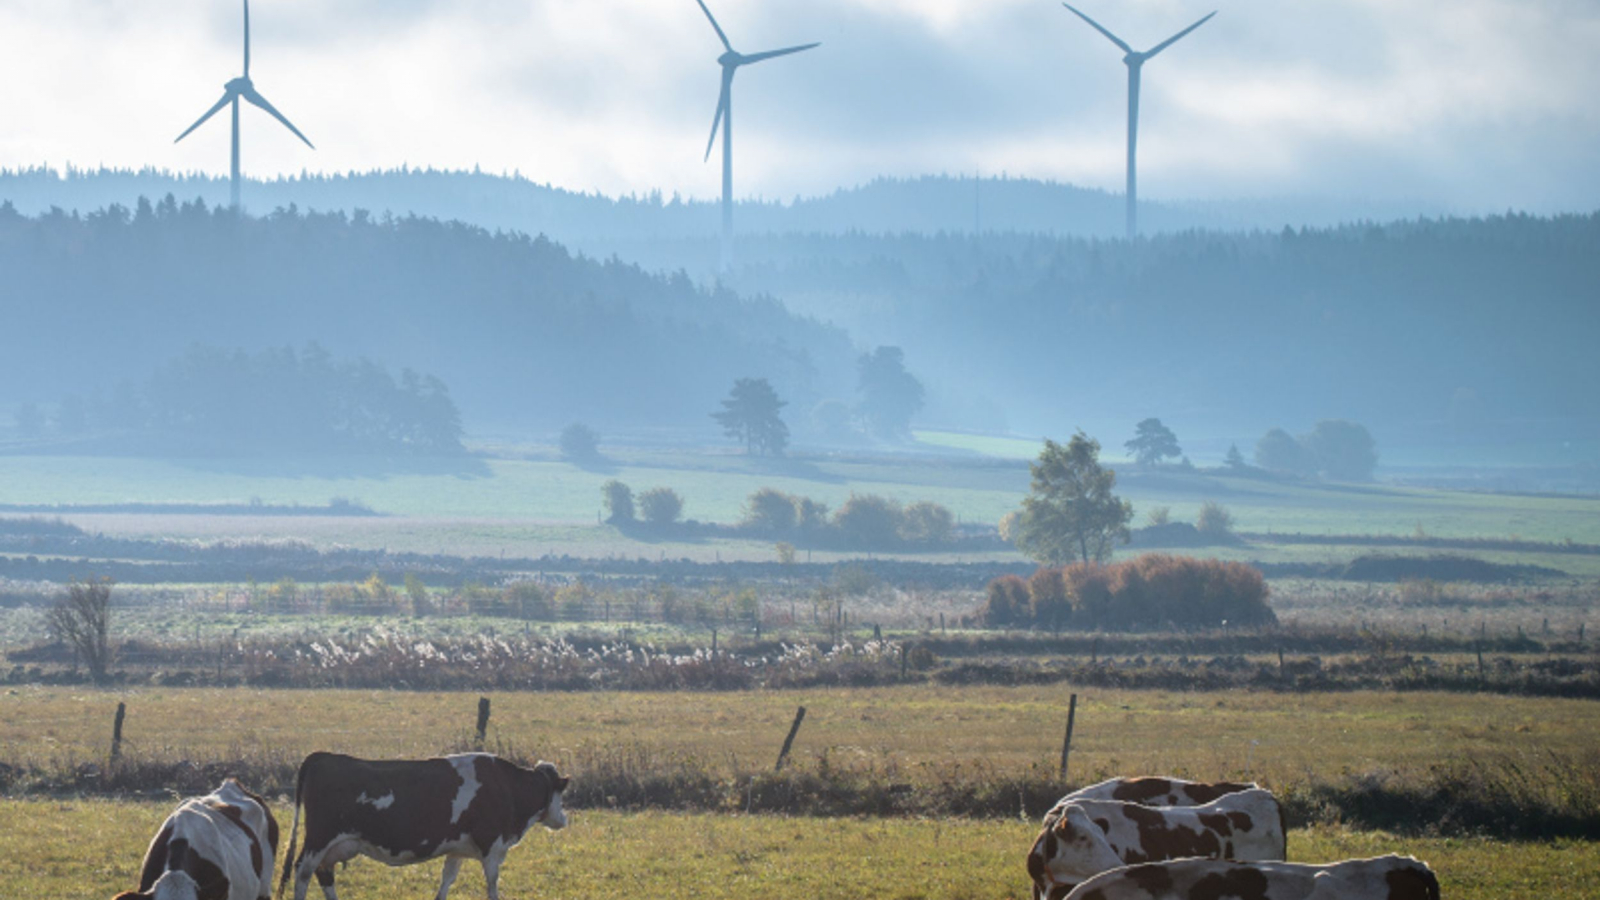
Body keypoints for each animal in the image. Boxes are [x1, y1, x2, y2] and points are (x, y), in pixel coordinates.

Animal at [278, 746, 572, 896]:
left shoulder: (458, 849)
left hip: (335, 845)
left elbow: (447, 880)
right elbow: (492, 882)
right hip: (319, 838)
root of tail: (323, 756)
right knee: (302, 871)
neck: (507, 786)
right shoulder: (492, 846)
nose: (565, 819)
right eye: (561, 792)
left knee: (323, 873)